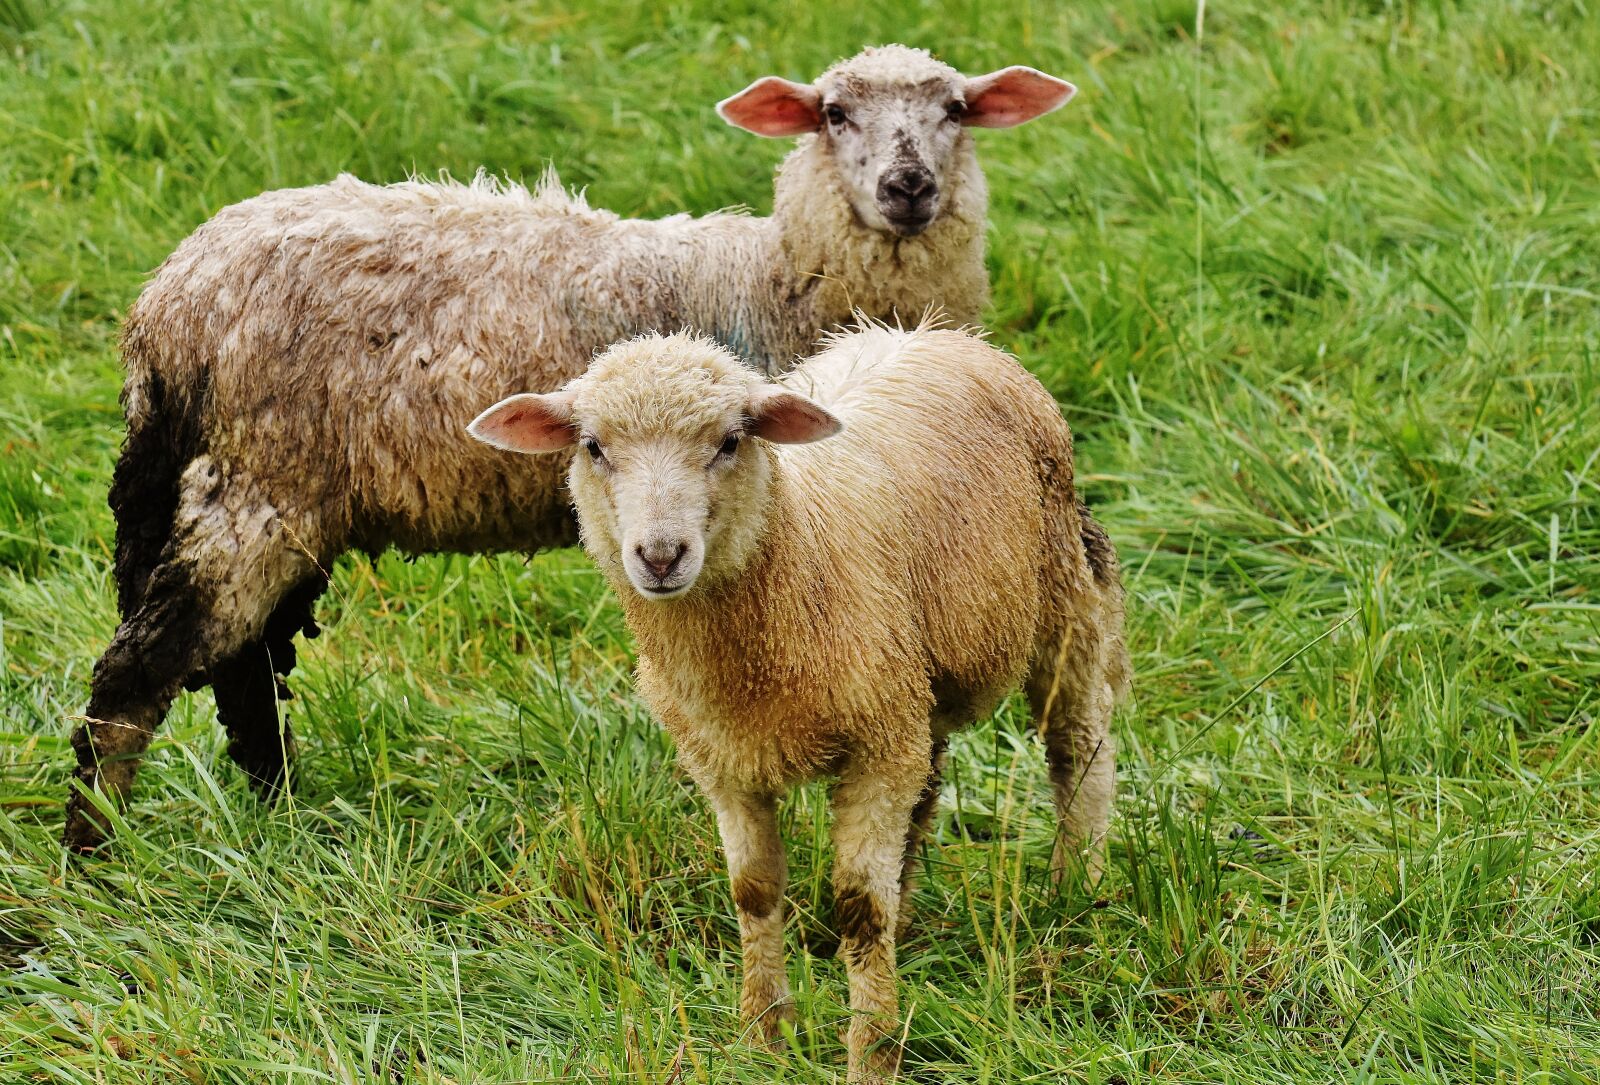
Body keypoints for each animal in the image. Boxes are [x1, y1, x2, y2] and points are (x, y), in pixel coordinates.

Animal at [64, 45, 1079, 851]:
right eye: (834, 114)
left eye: (955, 110)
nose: (908, 188)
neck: (774, 275)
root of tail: (165, 306)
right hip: (257, 481)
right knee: (140, 672)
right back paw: (94, 855)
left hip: (285, 495)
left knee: (247, 667)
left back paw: (277, 814)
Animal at [466, 324, 1130, 1081]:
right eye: (594, 447)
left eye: (730, 441)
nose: (660, 556)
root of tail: (943, 332)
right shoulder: (725, 760)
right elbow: (753, 892)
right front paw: (763, 1036)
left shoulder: (877, 748)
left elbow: (859, 907)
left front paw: (872, 1053)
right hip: (917, 687)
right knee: (928, 784)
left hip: (1064, 596)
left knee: (1078, 745)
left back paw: (1077, 889)